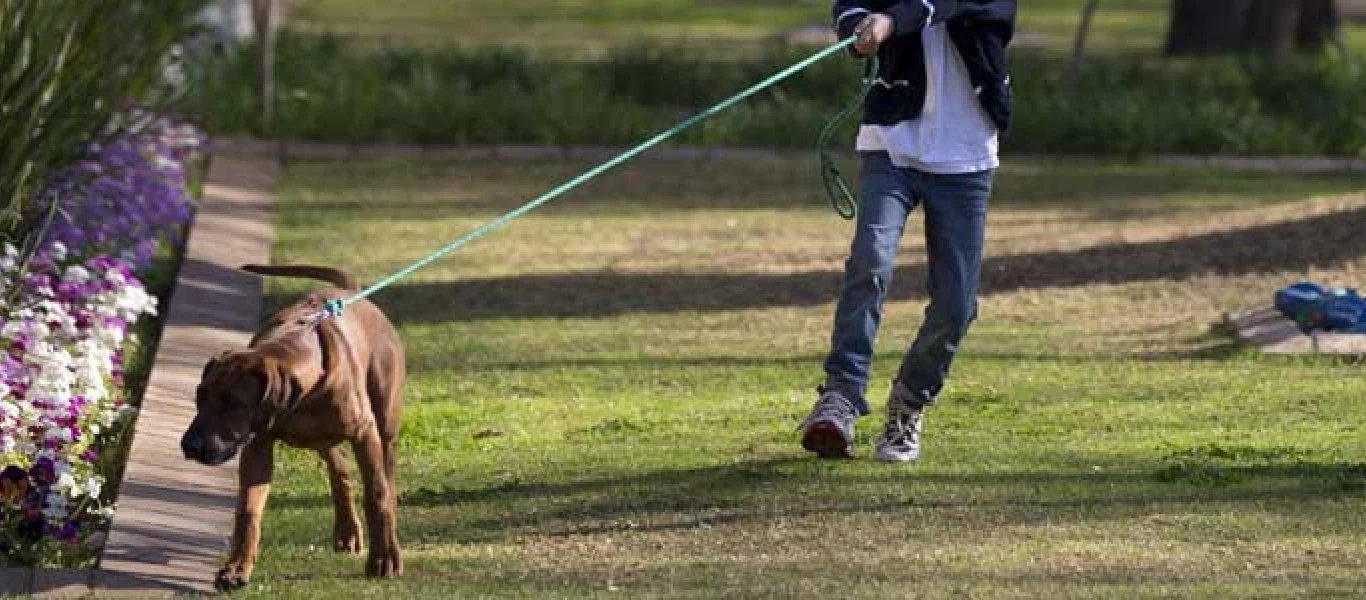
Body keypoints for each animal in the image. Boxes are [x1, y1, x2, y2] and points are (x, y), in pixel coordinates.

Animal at [176, 266, 401, 593]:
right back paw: (347, 529)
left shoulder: (364, 432)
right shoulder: (258, 442)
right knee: (339, 467)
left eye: (233, 403)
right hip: (321, 437)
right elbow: (248, 510)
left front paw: (383, 559)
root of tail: (353, 291)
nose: (189, 446)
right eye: (200, 395)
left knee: (386, 480)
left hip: (384, 425)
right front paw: (236, 568)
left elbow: (376, 494)